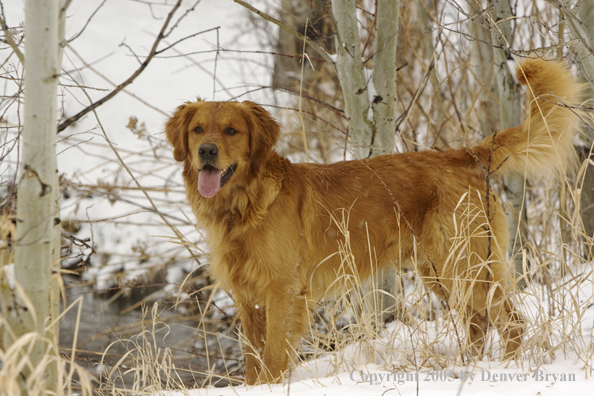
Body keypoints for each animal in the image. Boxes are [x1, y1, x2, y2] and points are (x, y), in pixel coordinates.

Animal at [165, 58, 580, 384]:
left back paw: (499, 372)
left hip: (465, 264)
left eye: (231, 130)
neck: (243, 206)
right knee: (479, 322)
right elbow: (254, 361)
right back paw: (472, 366)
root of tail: (463, 154)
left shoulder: (282, 291)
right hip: (441, 271)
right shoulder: (248, 297)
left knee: (510, 322)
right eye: (197, 129)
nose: (206, 151)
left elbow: (272, 357)